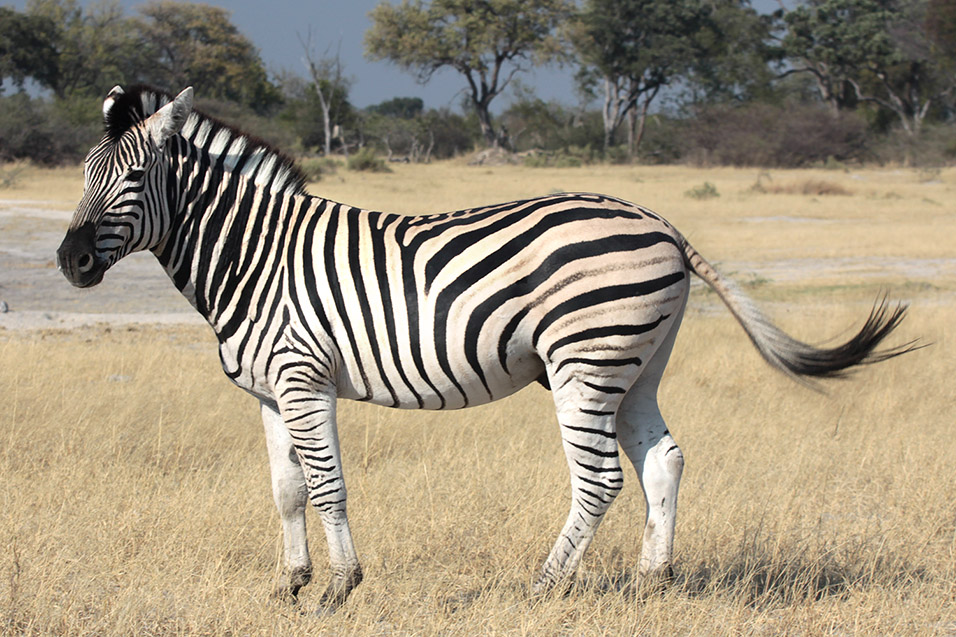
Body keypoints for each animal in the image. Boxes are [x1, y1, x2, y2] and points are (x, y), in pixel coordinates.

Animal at [56, 85, 908, 612]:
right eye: (83, 173)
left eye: (134, 176)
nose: (70, 261)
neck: (254, 255)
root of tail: (664, 223)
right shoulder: (269, 389)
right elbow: (287, 490)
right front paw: (287, 585)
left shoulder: (303, 377)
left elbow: (327, 486)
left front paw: (339, 588)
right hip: (638, 365)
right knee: (663, 459)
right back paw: (652, 580)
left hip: (585, 362)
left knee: (600, 478)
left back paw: (544, 587)